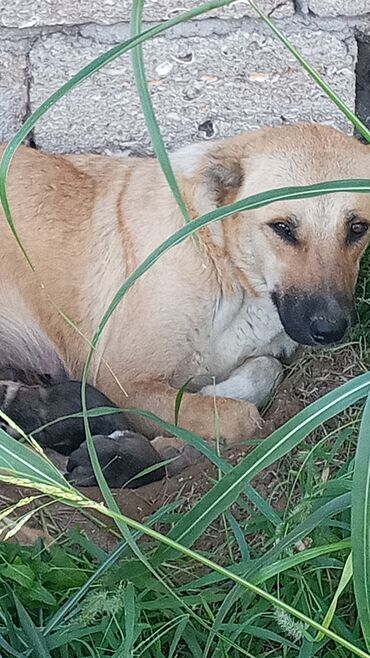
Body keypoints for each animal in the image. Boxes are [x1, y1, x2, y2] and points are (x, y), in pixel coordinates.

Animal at [0, 121, 368, 466]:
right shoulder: (123, 384)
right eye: (282, 227)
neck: (226, 264)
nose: (331, 330)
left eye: (358, 228)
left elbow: (266, 367)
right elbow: (240, 416)